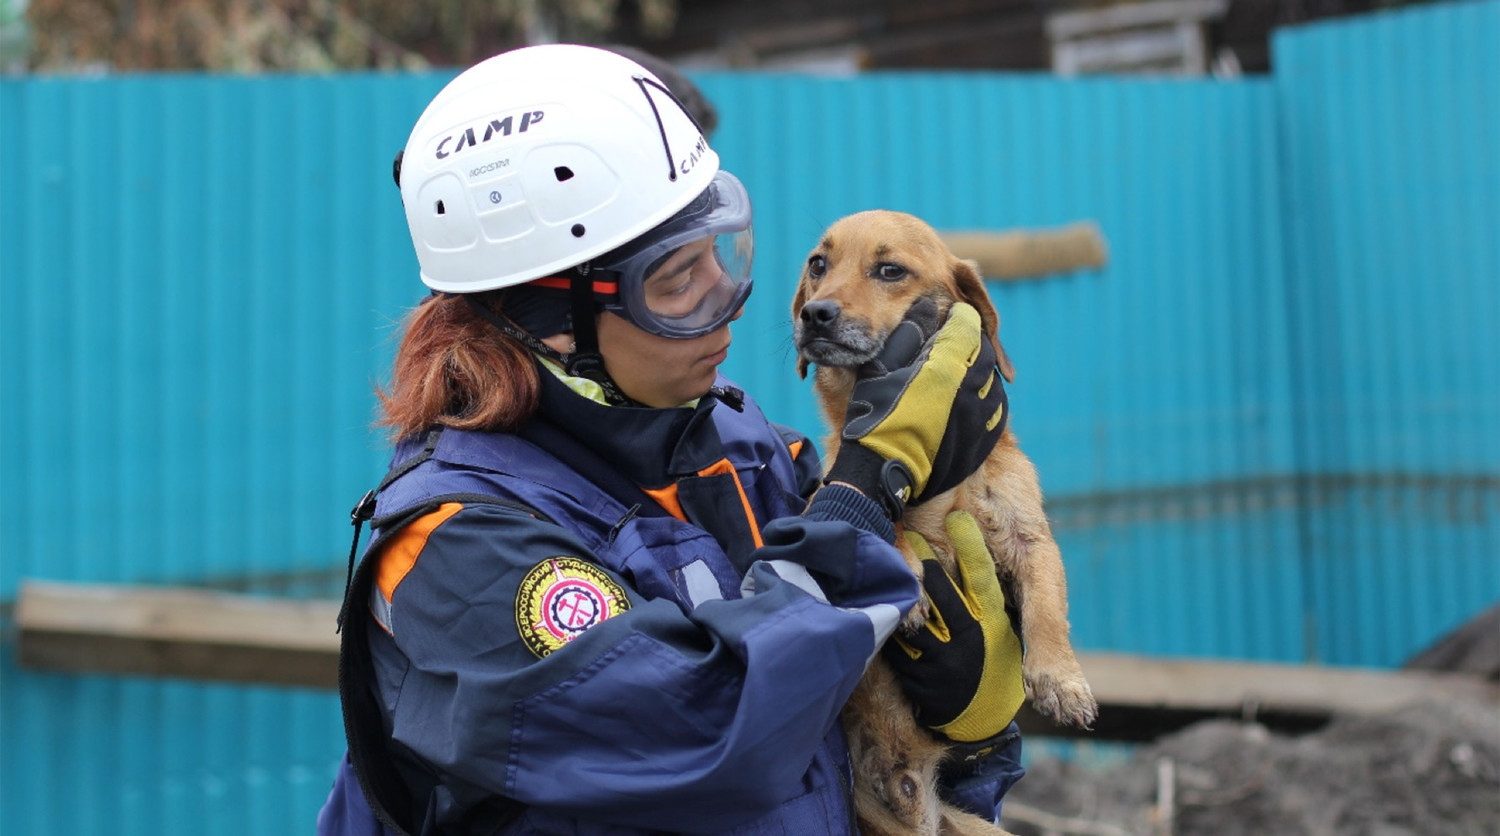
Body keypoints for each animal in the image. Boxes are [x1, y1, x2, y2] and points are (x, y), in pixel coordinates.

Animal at [792, 210, 1098, 834]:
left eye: (890, 270)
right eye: (818, 265)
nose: (815, 314)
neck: (939, 479)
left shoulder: (1030, 538)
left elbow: (1046, 608)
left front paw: (1061, 679)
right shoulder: (827, 497)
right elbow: (884, 519)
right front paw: (908, 575)